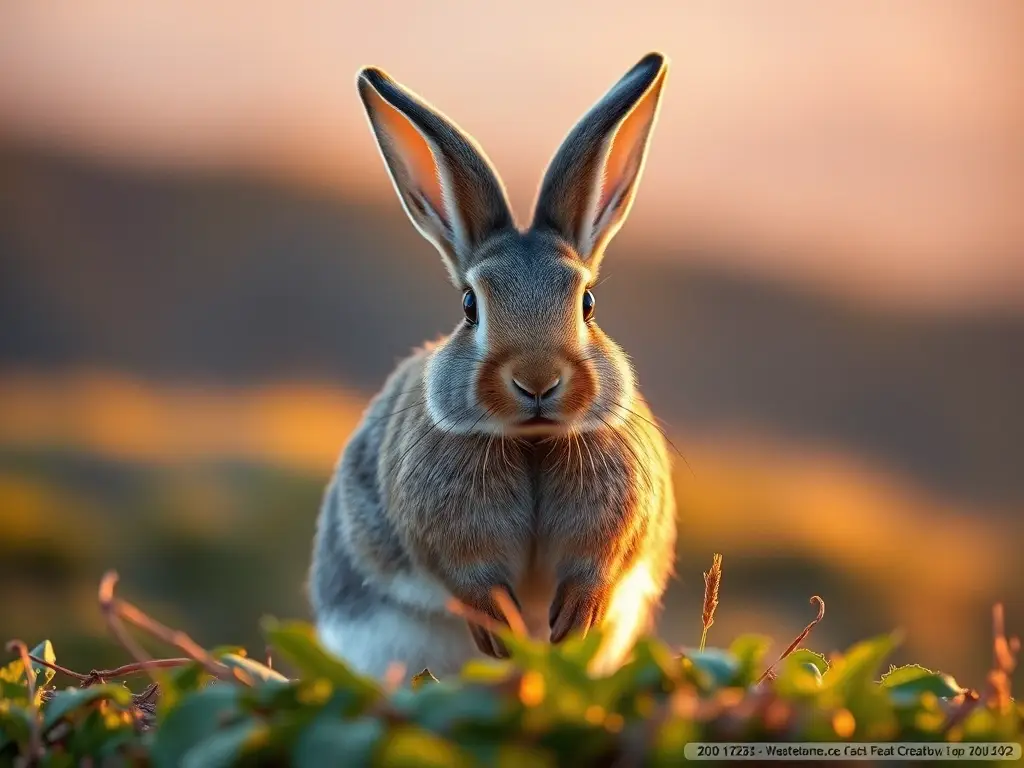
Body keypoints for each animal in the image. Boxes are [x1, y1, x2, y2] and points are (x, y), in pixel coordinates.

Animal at [308, 51, 677, 680]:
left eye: (587, 302)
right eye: (469, 306)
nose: (537, 380)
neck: (531, 440)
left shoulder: (615, 517)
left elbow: (598, 562)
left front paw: (574, 618)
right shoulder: (445, 529)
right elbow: (466, 575)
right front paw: (501, 625)